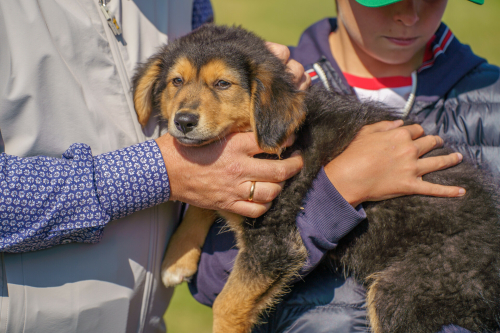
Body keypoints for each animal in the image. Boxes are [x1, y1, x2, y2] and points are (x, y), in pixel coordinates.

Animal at [132, 24, 500, 332]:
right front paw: (178, 258)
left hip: (405, 291)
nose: (184, 121)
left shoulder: (274, 245)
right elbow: (205, 196)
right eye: (176, 82)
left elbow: (227, 303)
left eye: (223, 84)